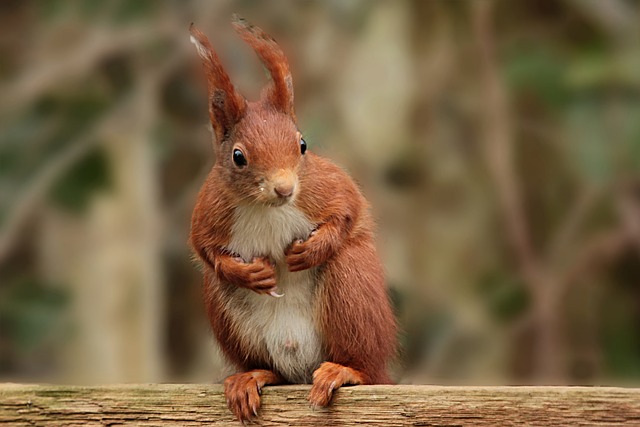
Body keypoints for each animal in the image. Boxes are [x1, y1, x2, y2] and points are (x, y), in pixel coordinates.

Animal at [188, 17, 396, 424]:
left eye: (302, 145)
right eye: (238, 156)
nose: (285, 189)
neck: (267, 207)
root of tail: (302, 366)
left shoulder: (326, 186)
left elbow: (348, 210)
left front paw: (312, 250)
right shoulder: (209, 210)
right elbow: (205, 250)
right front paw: (250, 273)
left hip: (352, 289)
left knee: (363, 364)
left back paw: (346, 370)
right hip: (227, 314)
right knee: (272, 369)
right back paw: (252, 376)